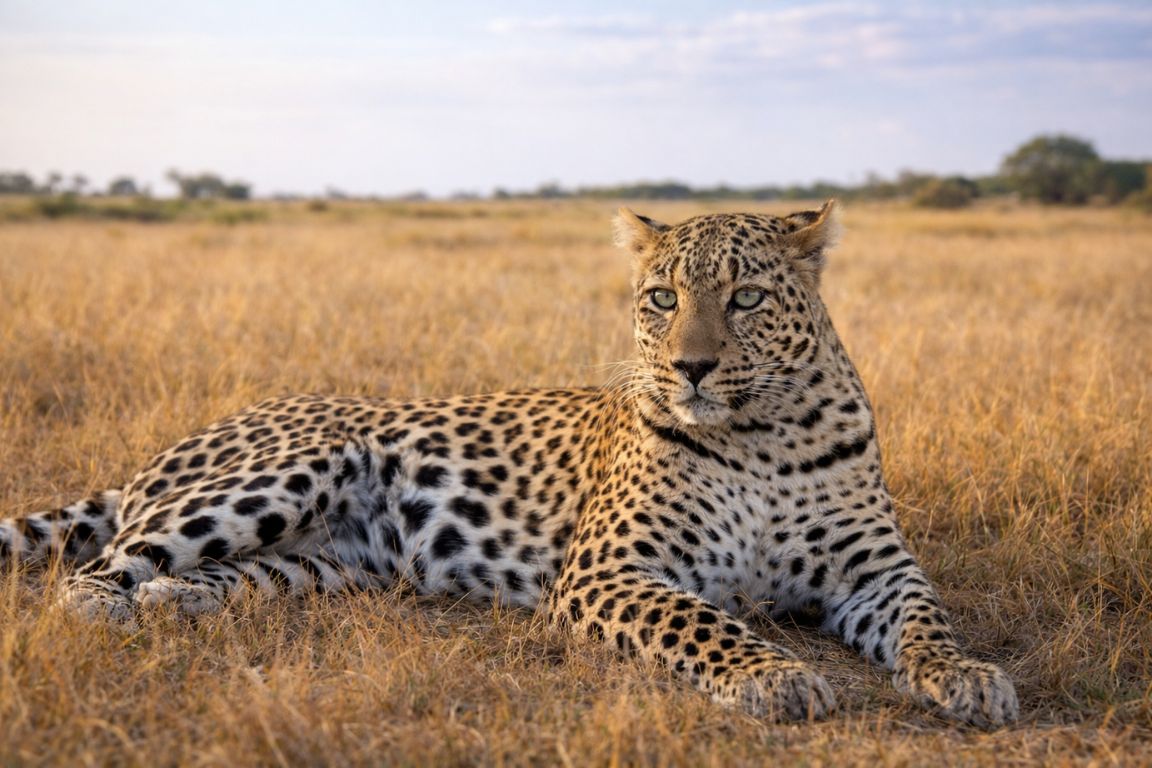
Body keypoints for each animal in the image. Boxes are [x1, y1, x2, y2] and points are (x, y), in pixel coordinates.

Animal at [0, 202, 1018, 727]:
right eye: (661, 297)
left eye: (748, 298)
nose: (690, 367)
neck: (758, 435)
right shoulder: (613, 570)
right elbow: (704, 622)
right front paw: (774, 676)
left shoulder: (877, 571)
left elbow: (927, 621)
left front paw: (970, 677)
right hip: (288, 468)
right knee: (90, 578)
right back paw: (117, 614)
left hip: (319, 564)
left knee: (196, 577)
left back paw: (173, 605)